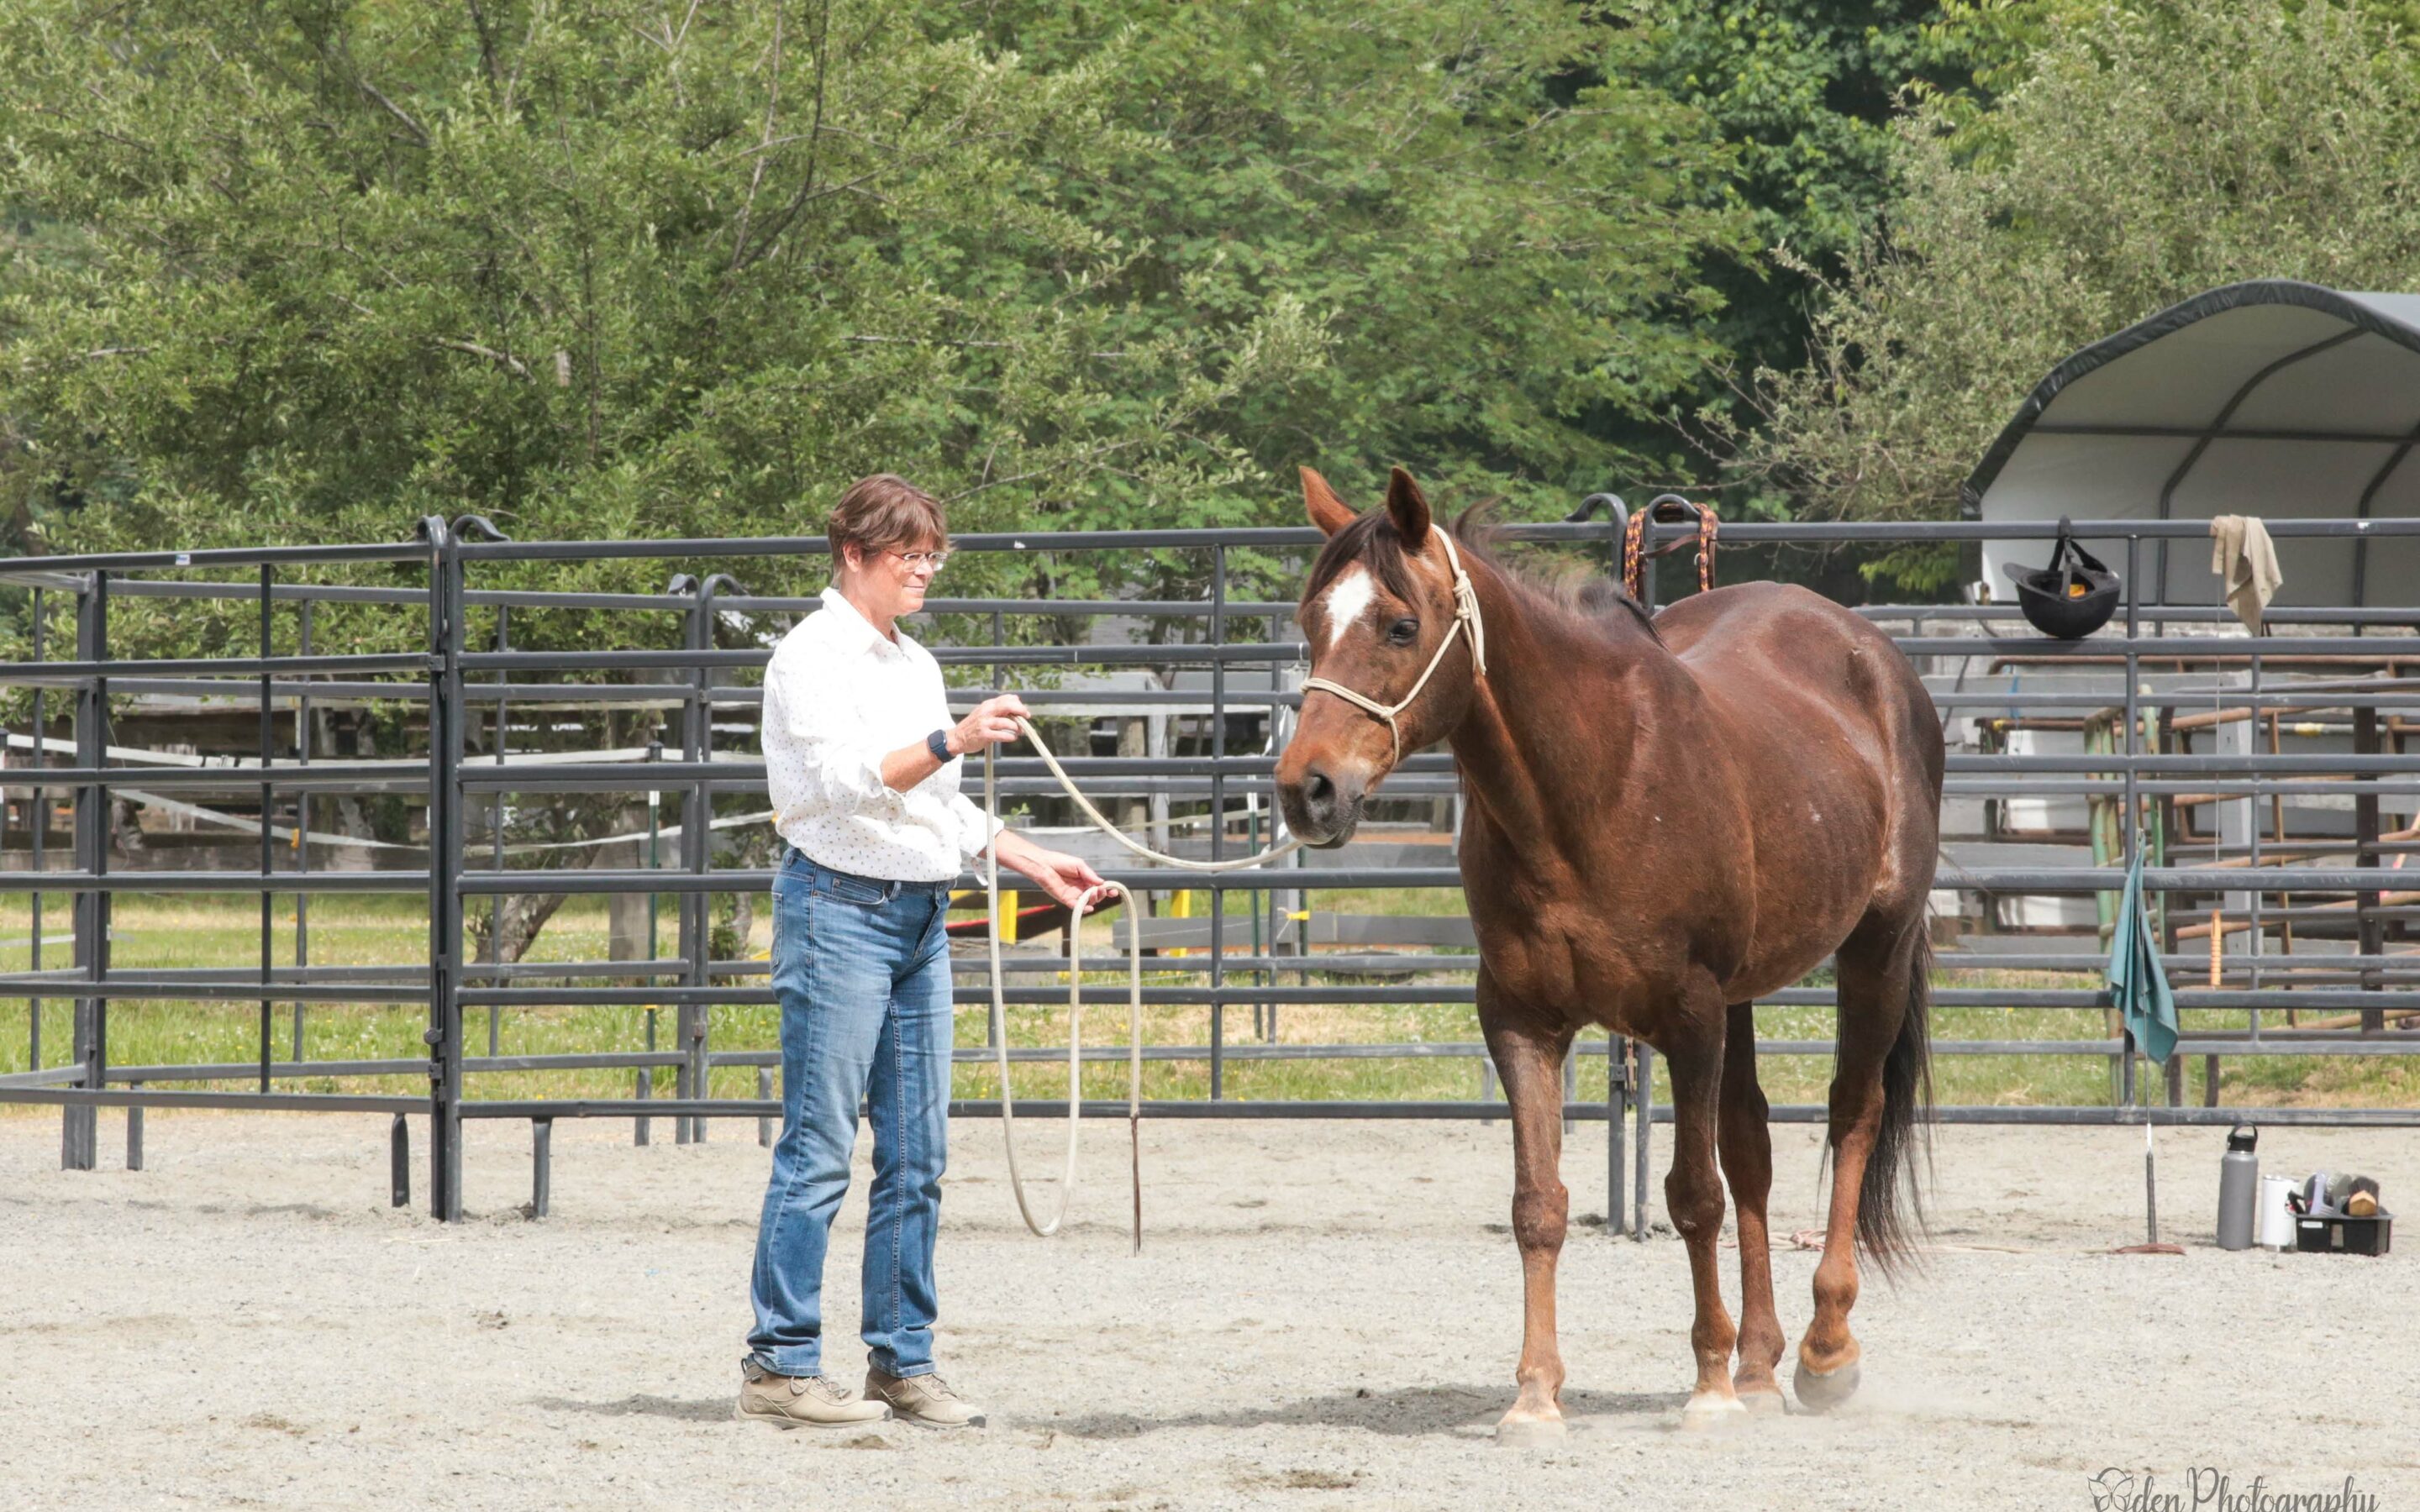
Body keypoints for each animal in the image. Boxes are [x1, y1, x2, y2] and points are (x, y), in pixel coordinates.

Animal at [1277, 466, 1936, 1431]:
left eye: (1399, 625)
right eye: (1310, 623)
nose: (1308, 790)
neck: (1591, 786)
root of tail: (1870, 654)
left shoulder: (1690, 1015)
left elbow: (1693, 1197)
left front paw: (1706, 1388)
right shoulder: (1520, 1020)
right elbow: (1539, 1205)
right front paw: (1535, 1396)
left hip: (1874, 950)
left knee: (1854, 1113)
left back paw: (1823, 1350)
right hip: (1745, 995)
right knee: (1752, 1146)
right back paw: (1761, 1365)